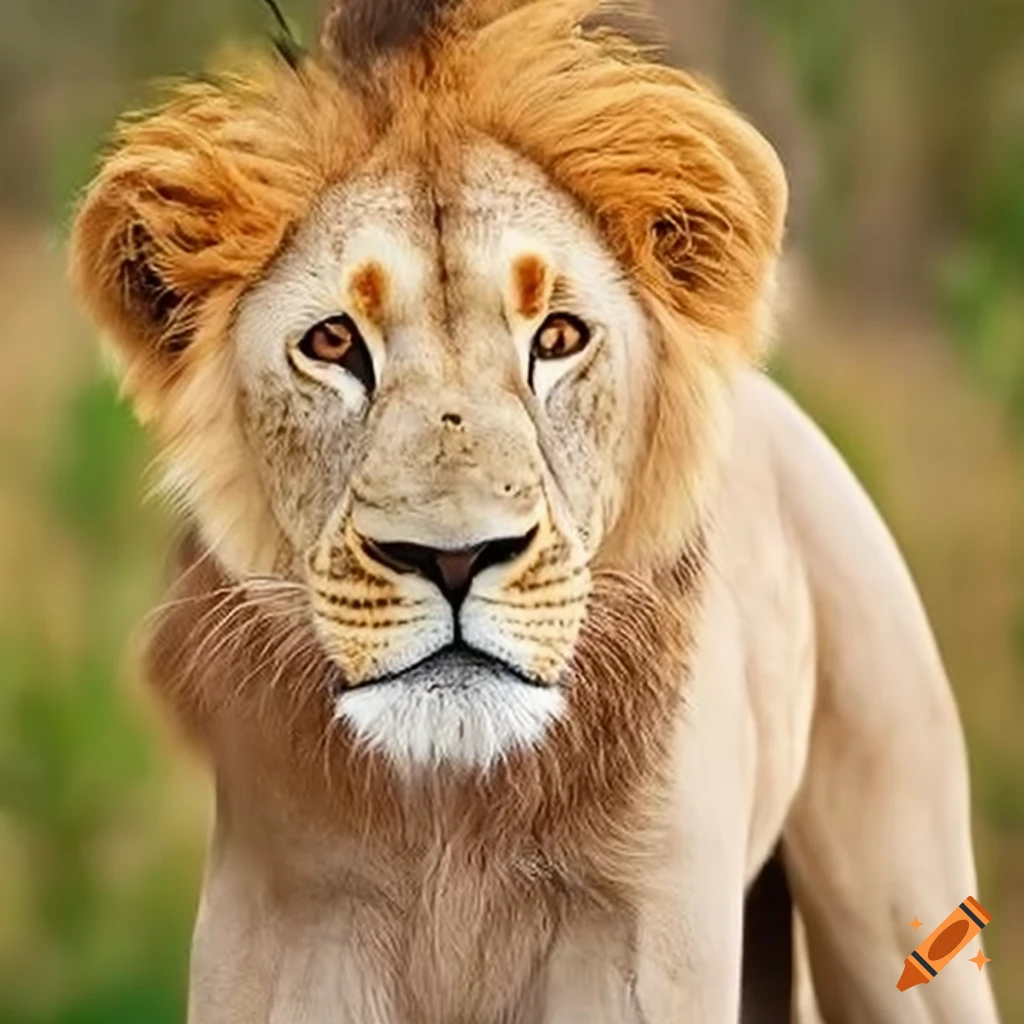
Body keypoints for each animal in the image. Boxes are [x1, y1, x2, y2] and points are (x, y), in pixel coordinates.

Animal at [68, 1, 1000, 1021]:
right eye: (333, 344)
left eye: (555, 337)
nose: (453, 558)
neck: (452, 817)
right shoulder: (287, 927)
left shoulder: (635, 947)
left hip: (895, 888)